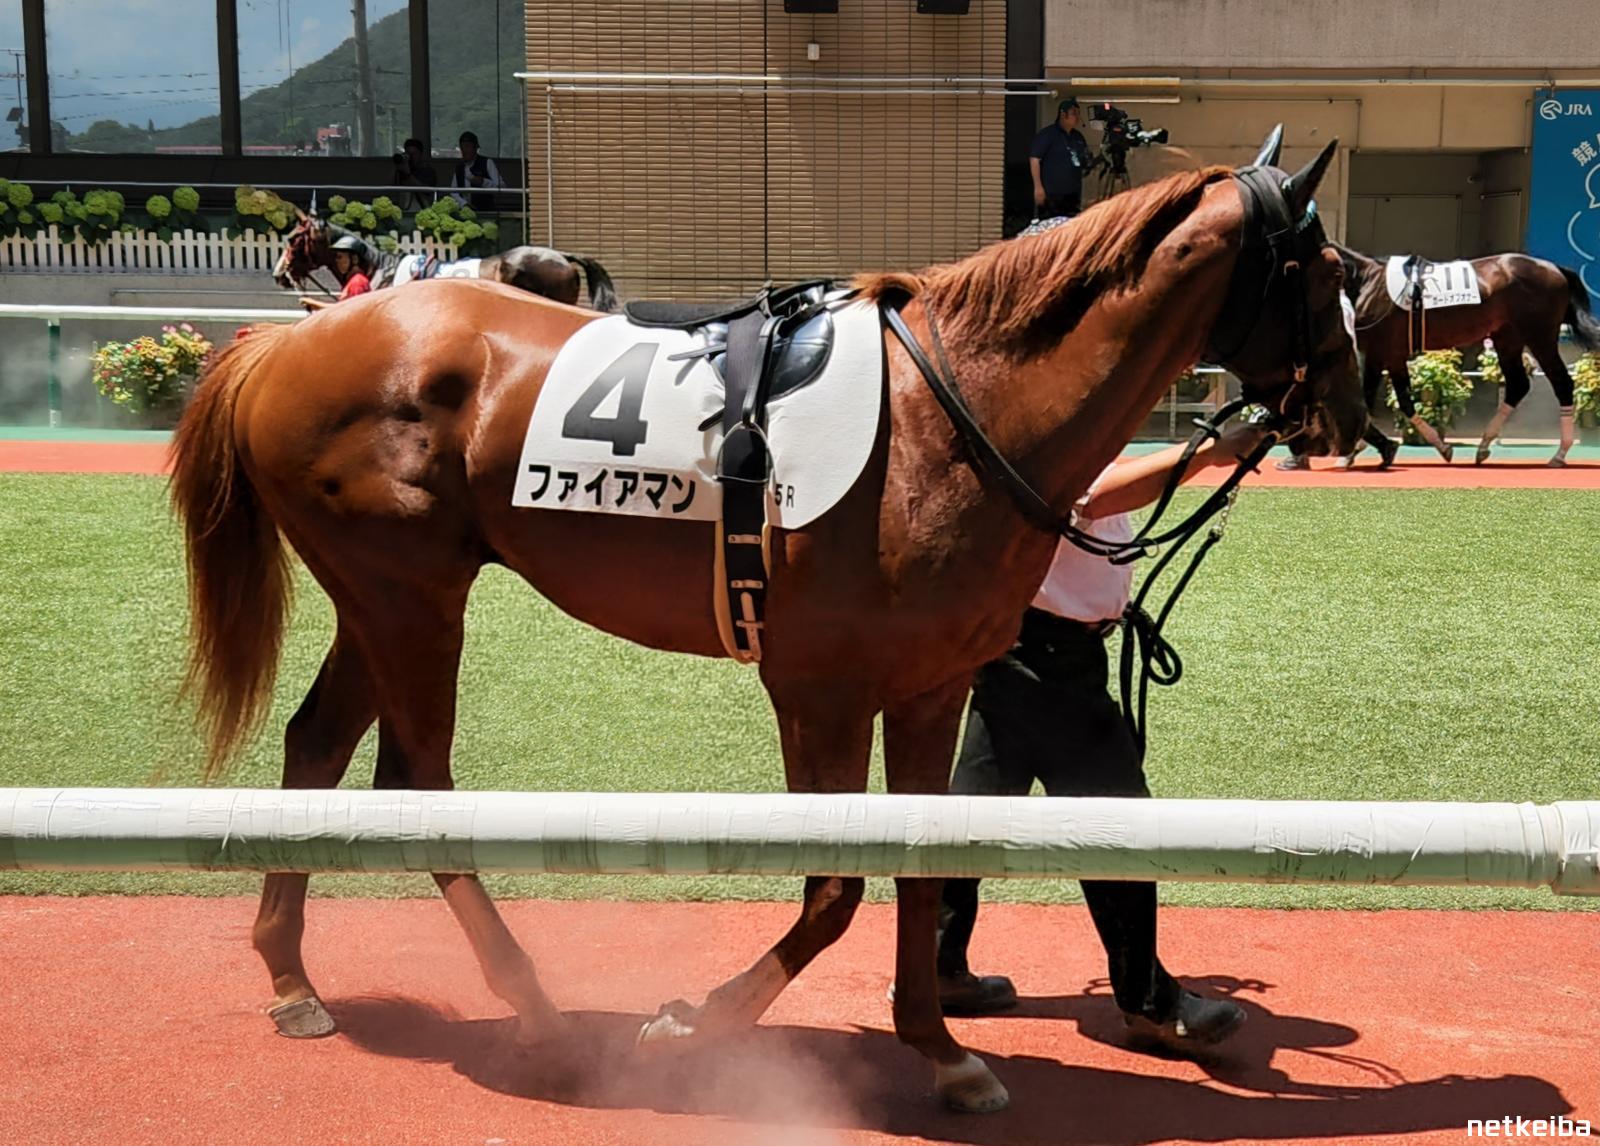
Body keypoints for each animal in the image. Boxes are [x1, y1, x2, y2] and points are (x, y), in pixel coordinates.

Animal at [1332, 241, 1600, 467]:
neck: (1366, 280)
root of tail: (1555, 268)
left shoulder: (1378, 352)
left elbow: (1368, 400)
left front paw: (1352, 453)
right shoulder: (1394, 354)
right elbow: (1405, 402)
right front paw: (1441, 447)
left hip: (1539, 338)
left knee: (1562, 383)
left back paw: (1560, 454)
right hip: (1508, 339)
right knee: (1518, 385)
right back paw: (1483, 446)